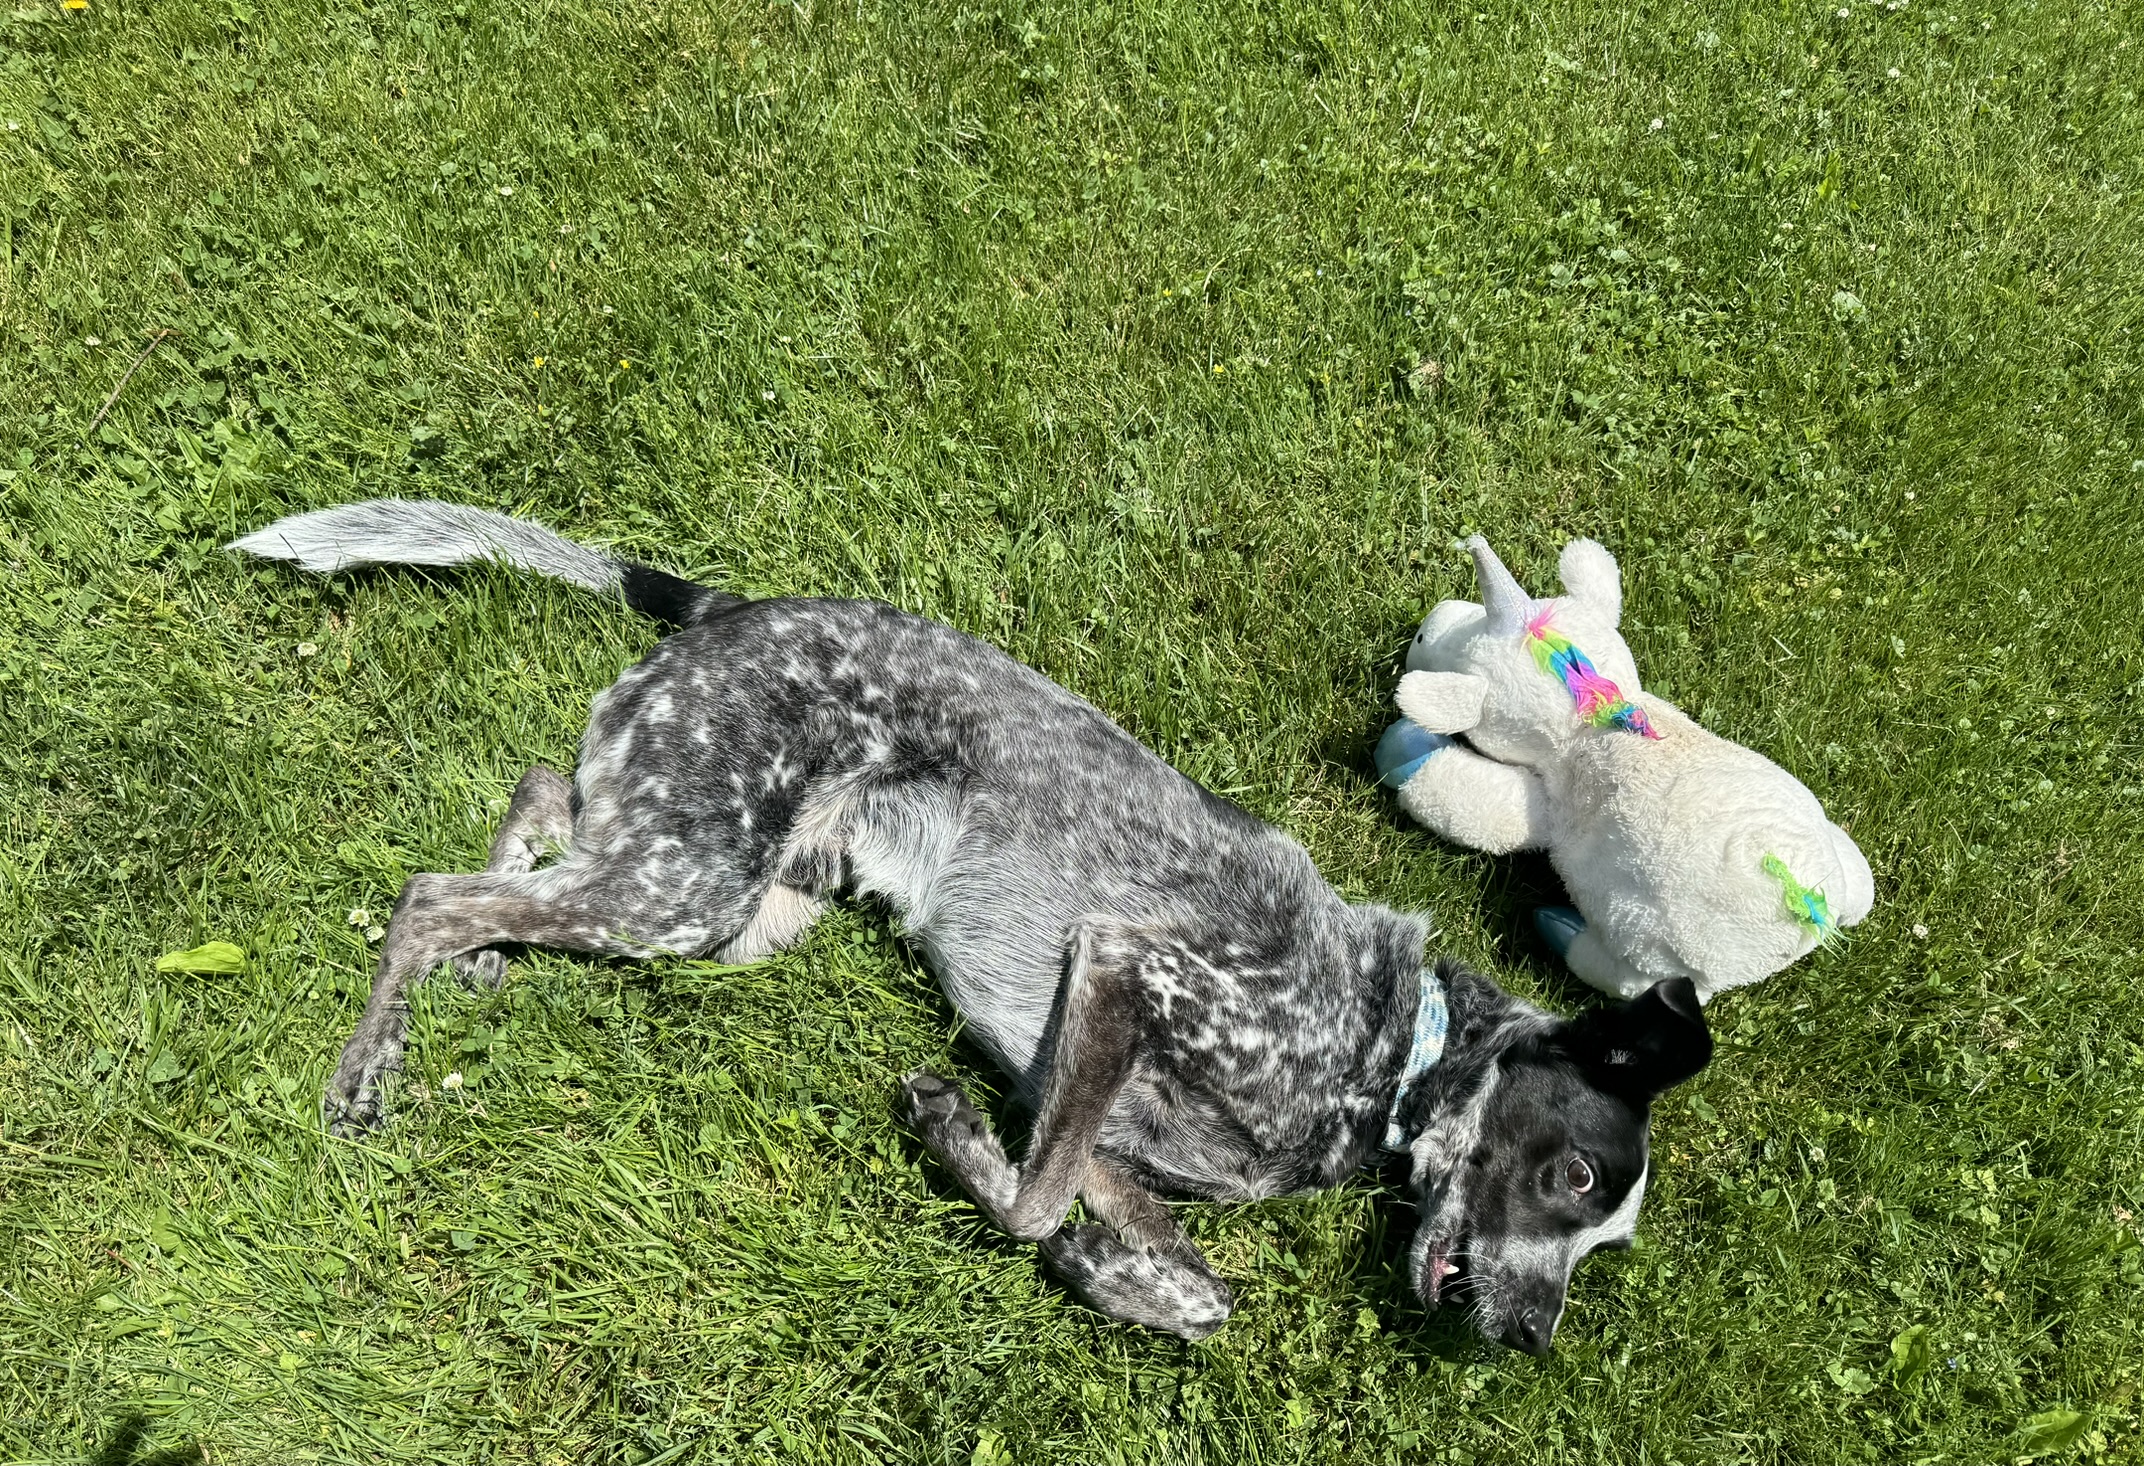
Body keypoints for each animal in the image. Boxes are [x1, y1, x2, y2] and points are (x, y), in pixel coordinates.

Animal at [230, 497, 1706, 1345]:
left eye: (1607, 1239)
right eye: (1574, 1178)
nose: (1527, 1338)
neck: (1390, 1051)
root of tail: (726, 602)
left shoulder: (1104, 1128)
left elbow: (1192, 1290)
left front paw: (1096, 1269)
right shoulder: (1125, 972)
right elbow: (1037, 1192)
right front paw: (963, 1147)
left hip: (732, 900)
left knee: (537, 799)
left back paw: (486, 960)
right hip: (686, 889)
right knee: (427, 895)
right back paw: (370, 1063)